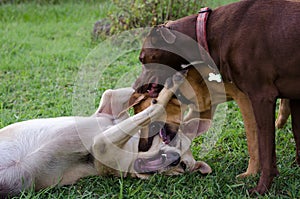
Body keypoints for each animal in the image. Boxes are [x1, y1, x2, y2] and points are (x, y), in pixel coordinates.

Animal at [0, 72, 211, 197]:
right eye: (171, 139)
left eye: (183, 166)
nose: (175, 159)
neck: (134, 150)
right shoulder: (110, 106)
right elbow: (122, 95)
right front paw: (160, 89)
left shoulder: (102, 144)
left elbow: (155, 109)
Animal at [134, 0, 300, 194]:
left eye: (142, 59)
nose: (135, 87)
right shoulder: (204, 107)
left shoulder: (256, 98)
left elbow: (258, 144)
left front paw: (255, 180)